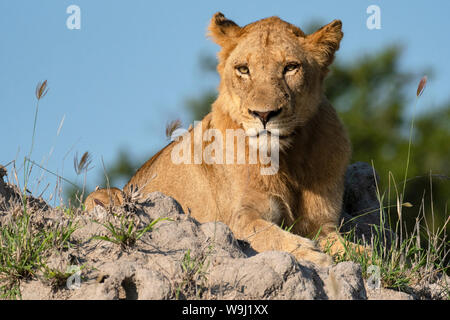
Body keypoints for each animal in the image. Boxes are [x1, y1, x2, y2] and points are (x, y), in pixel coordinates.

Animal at [86, 12, 356, 266]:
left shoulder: (324, 225)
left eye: (290, 67)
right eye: (243, 69)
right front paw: (313, 256)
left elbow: (358, 250)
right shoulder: (237, 219)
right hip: (106, 196)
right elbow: (267, 233)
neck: (287, 159)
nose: (264, 114)